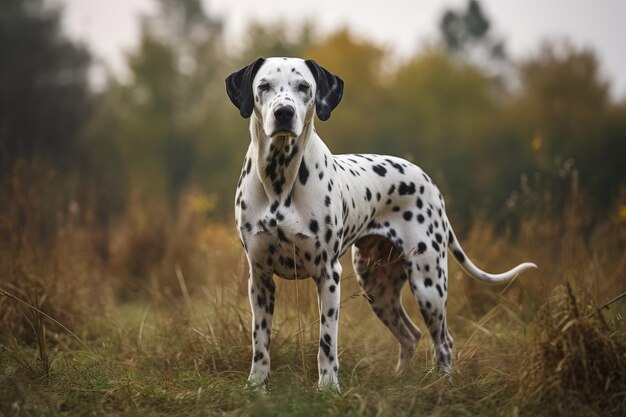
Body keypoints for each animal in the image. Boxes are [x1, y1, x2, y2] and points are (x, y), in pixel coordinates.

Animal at [225, 57, 536, 388]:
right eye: (264, 86)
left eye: (304, 87)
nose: (284, 112)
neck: (280, 179)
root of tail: (429, 181)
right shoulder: (260, 277)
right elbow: (260, 340)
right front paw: (256, 385)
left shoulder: (328, 274)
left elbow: (326, 342)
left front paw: (328, 388)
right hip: (377, 286)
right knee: (410, 334)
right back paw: (401, 378)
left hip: (429, 284)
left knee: (443, 341)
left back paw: (443, 385)